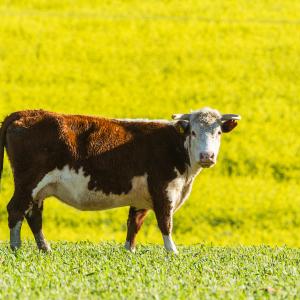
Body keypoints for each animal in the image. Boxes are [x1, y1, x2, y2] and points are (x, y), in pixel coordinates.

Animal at [0, 108, 240, 253]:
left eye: (218, 132)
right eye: (193, 132)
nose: (207, 156)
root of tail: (27, 112)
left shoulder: (142, 197)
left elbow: (134, 224)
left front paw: (129, 251)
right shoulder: (163, 189)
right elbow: (165, 222)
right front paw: (172, 252)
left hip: (38, 189)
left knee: (33, 214)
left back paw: (45, 249)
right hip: (28, 182)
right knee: (15, 209)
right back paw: (16, 248)